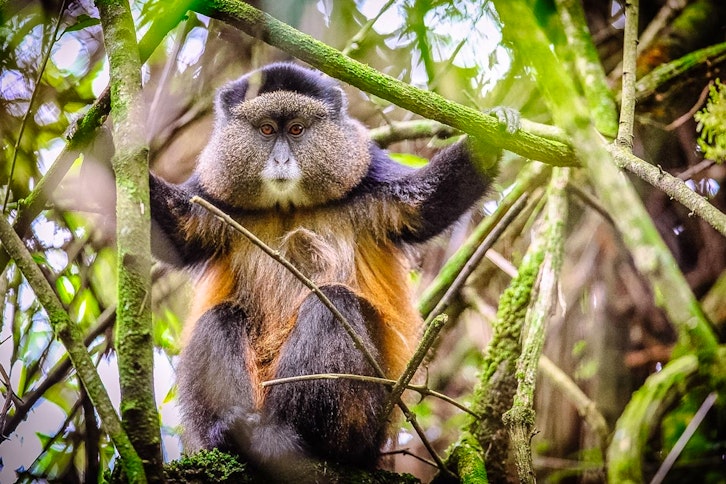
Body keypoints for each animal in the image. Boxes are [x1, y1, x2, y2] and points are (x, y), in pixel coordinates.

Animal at [149, 62, 508, 477]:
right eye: (267, 130)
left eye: (296, 130)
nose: (281, 160)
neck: (288, 205)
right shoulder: (210, 195)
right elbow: (174, 237)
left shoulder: (369, 175)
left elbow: (429, 206)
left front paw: (493, 137)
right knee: (221, 317)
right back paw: (232, 434)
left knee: (333, 302)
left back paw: (300, 440)